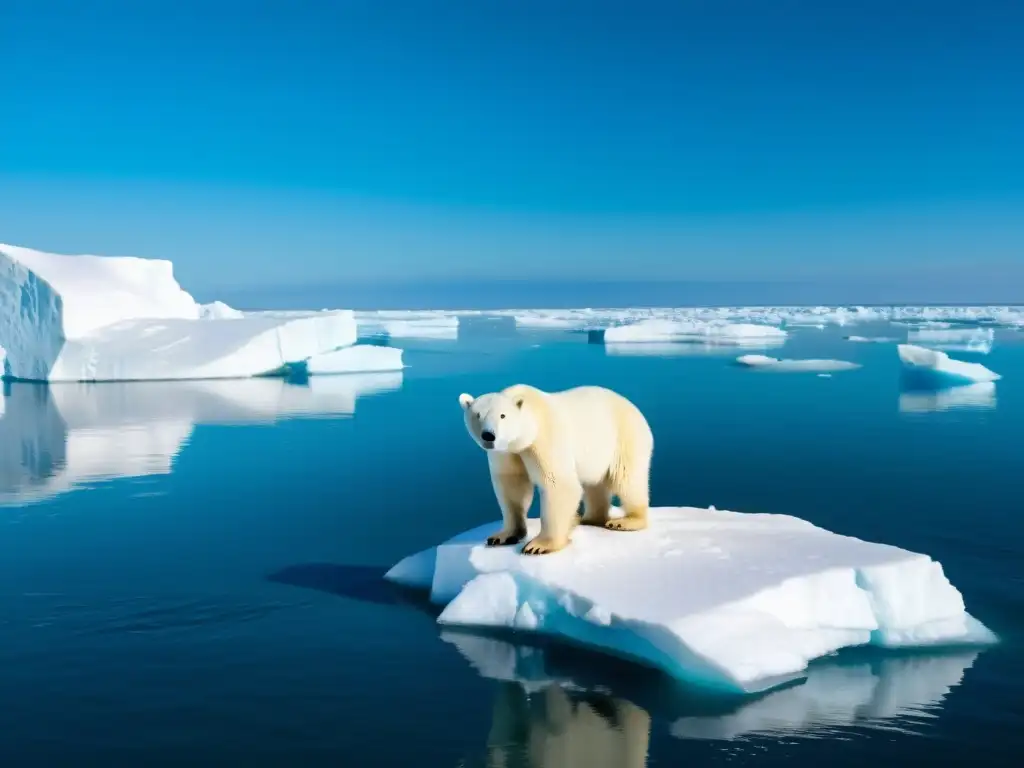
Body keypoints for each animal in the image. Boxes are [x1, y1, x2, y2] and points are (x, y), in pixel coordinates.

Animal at [458, 382, 651, 552]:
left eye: (503, 415)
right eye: (477, 415)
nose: (488, 435)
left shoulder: (545, 439)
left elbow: (558, 485)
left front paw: (539, 545)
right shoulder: (506, 452)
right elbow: (512, 487)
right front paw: (502, 536)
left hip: (624, 438)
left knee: (626, 479)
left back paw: (626, 520)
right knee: (595, 485)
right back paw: (588, 518)